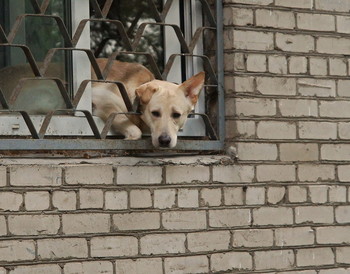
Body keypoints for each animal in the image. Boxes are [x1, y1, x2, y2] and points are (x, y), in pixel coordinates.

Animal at [0, 57, 205, 148]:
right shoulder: (100, 97)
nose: (164, 141)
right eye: (155, 113)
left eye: (176, 115)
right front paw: (129, 135)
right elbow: (132, 128)